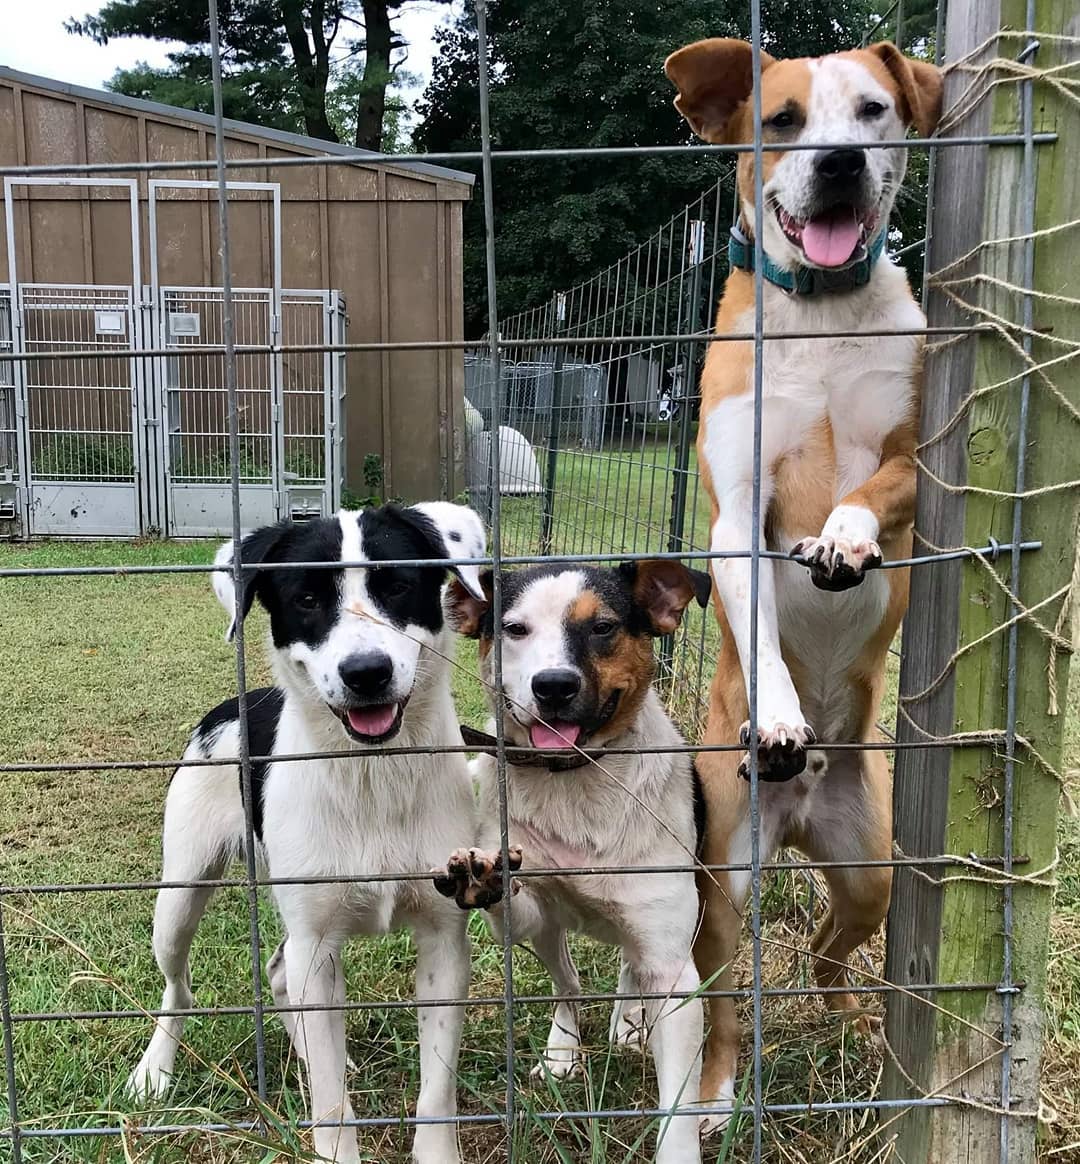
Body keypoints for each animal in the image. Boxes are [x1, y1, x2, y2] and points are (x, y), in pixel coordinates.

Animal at [126, 500, 484, 1164]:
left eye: (397, 586)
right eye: (308, 599)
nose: (366, 672)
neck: (371, 775)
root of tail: (234, 705)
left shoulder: (444, 936)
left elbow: (436, 1091)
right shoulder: (317, 941)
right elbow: (332, 1103)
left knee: (278, 974)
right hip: (180, 894)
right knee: (179, 988)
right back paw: (154, 1070)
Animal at [661, 36, 940, 1126]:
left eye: (873, 110)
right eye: (781, 119)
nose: (839, 163)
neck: (821, 318)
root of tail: (800, 820)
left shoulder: (912, 450)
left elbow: (869, 490)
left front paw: (845, 540)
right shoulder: (737, 511)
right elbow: (758, 609)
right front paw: (779, 714)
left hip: (870, 871)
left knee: (831, 946)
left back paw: (847, 1016)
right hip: (720, 886)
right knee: (710, 993)